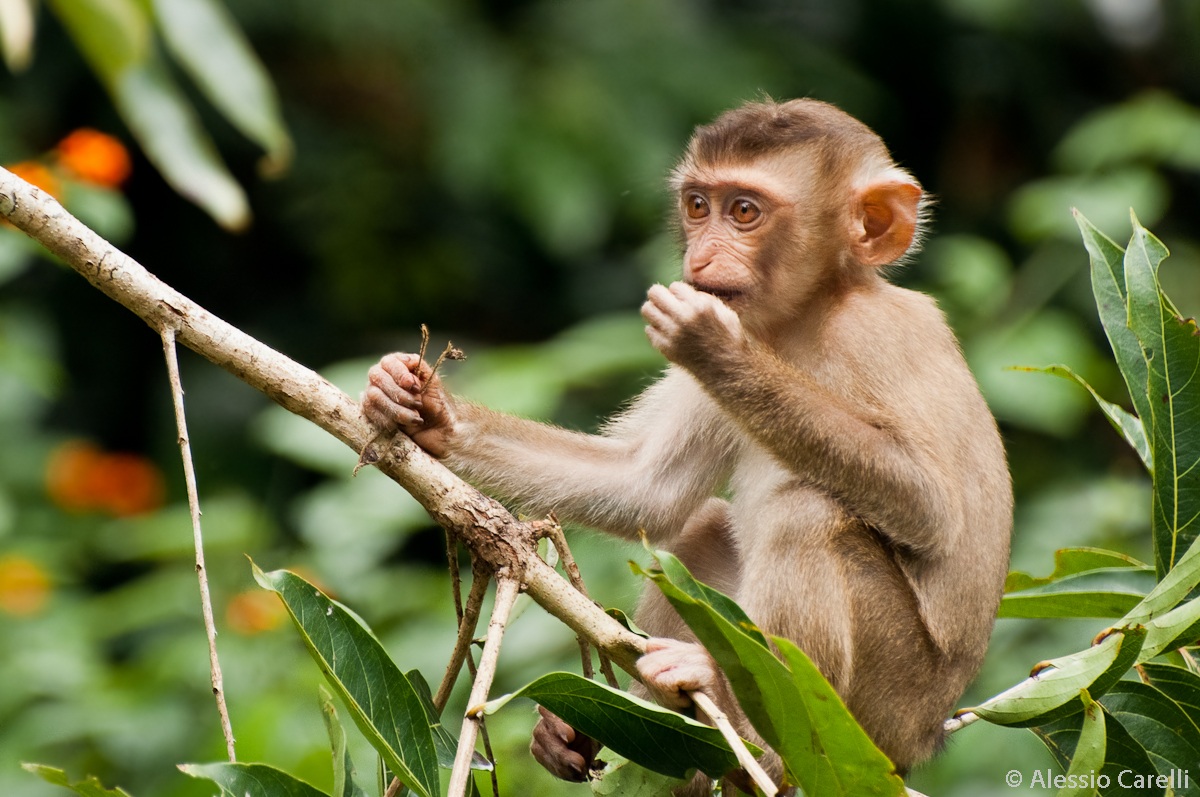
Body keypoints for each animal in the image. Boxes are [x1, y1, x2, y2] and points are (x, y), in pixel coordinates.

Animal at [362, 98, 1013, 792]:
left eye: (745, 212)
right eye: (698, 205)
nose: (701, 257)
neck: (803, 319)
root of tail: (926, 735)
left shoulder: (882, 333)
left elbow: (931, 507)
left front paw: (714, 348)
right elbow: (647, 489)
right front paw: (426, 412)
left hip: (880, 707)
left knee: (807, 510)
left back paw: (758, 740)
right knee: (699, 532)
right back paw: (596, 735)